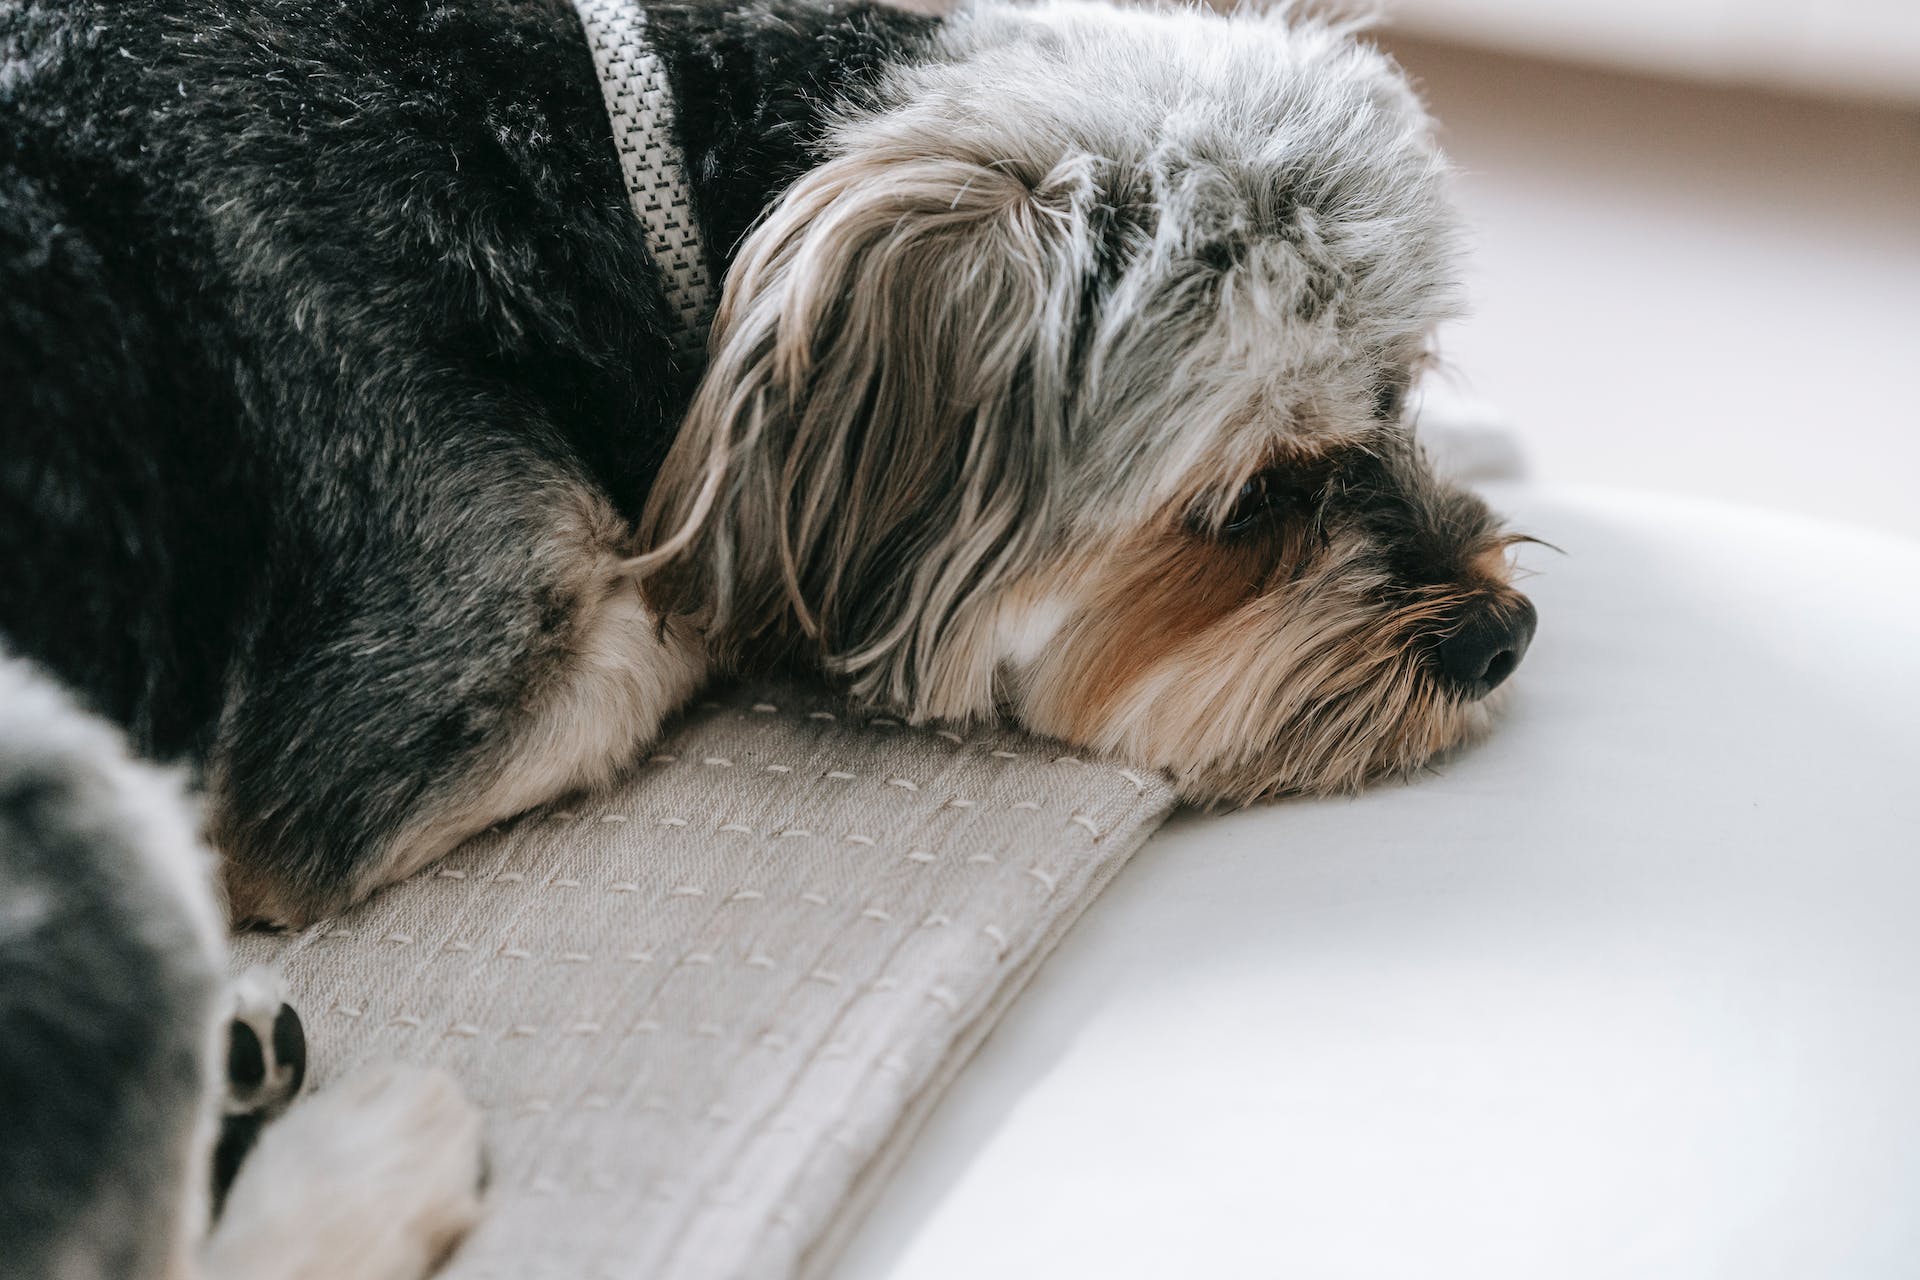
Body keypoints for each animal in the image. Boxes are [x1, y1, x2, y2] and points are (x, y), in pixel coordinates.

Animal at [0, 0, 1528, 1274]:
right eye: (1250, 502)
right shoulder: (377, 722)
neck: (598, 143)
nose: (1501, 637)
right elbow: (694, 595)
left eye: (1399, 390)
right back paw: (373, 1149)